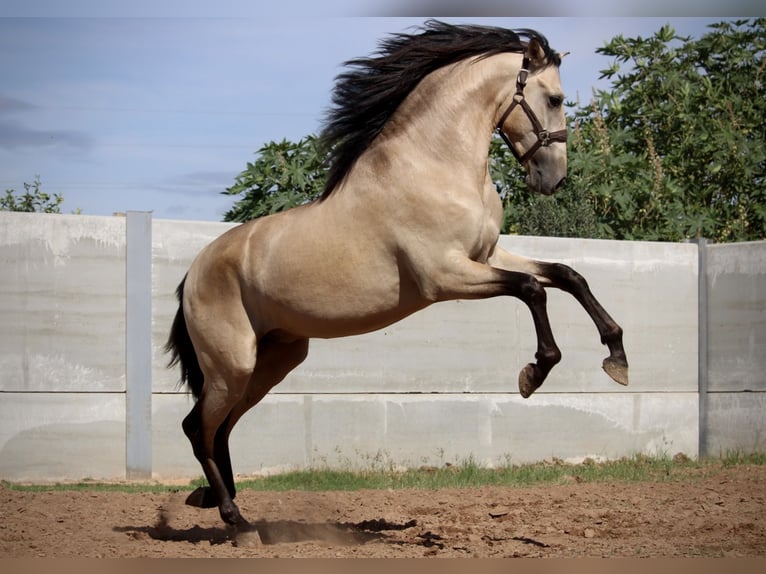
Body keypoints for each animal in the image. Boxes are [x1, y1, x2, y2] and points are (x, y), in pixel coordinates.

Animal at [168, 21, 632, 532]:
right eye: (554, 98)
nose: (554, 179)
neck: (435, 166)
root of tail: (193, 273)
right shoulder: (446, 276)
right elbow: (532, 290)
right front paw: (534, 372)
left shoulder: (488, 254)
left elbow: (567, 275)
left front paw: (616, 358)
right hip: (232, 365)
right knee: (198, 428)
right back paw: (235, 519)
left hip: (271, 362)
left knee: (222, 428)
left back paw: (220, 504)